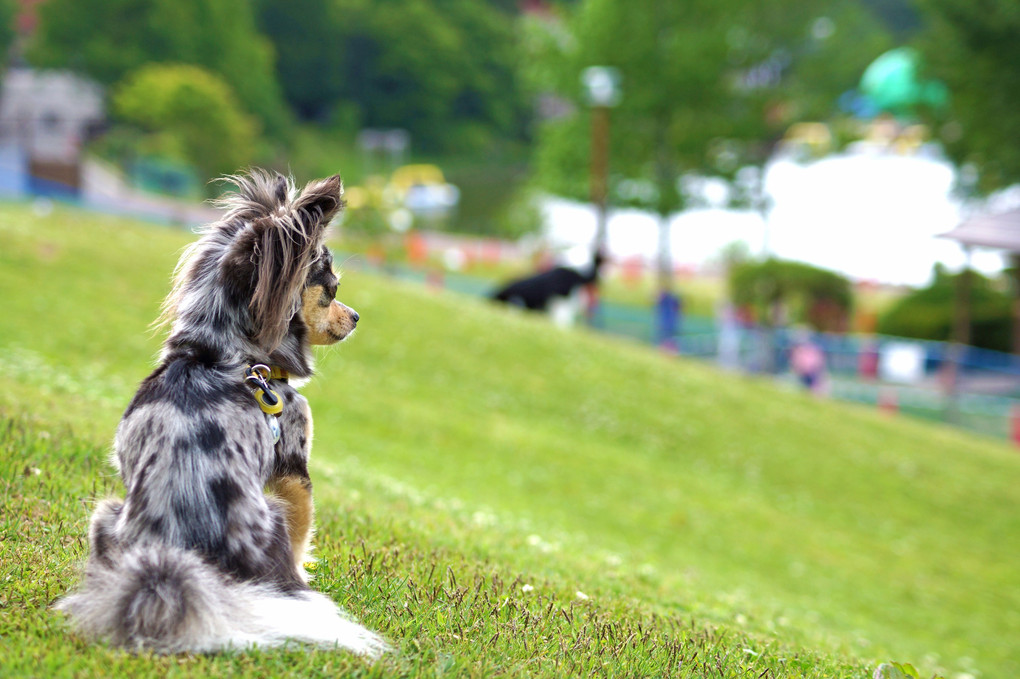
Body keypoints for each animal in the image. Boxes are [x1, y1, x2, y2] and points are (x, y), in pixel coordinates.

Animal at [57, 169, 387, 656]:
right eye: (331, 292)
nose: (358, 317)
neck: (219, 354)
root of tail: (180, 564)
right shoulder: (293, 470)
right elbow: (304, 532)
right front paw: (306, 576)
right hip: (270, 515)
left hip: (105, 515)